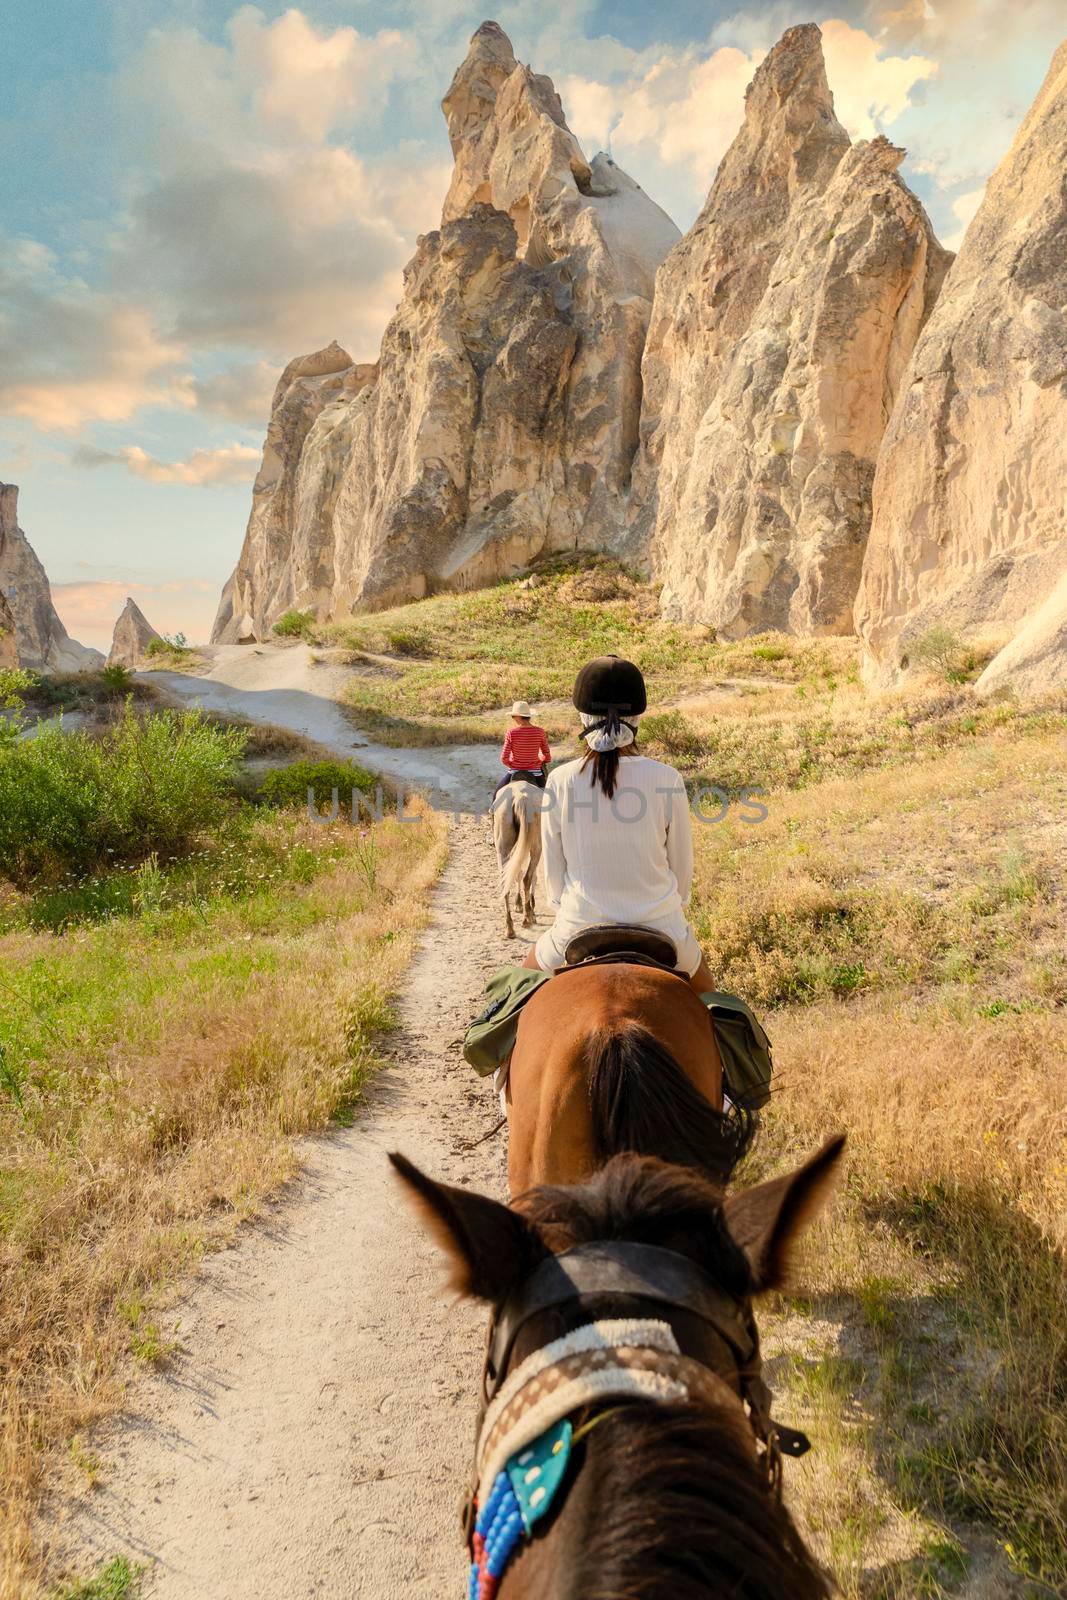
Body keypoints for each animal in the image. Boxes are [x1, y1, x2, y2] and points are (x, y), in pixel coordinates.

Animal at [492, 777, 543, 934]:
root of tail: (520, 797)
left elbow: (516, 873)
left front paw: (519, 904)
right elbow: (531, 876)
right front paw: (531, 909)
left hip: (503, 847)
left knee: (506, 881)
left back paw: (510, 928)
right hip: (536, 846)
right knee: (528, 877)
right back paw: (527, 919)